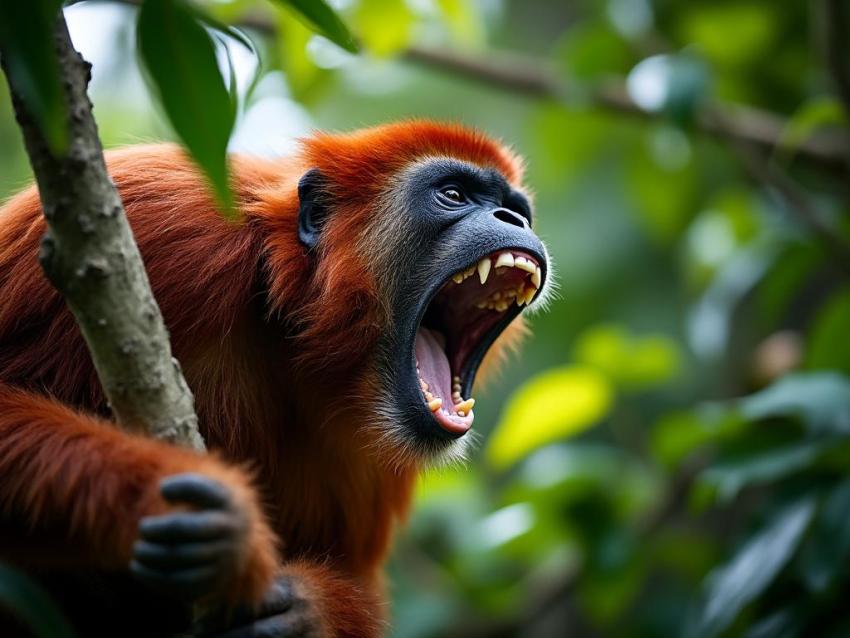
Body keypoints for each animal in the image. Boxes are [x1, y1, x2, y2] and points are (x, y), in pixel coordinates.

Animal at [0, 121, 550, 637]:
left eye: (514, 209)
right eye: (454, 195)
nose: (512, 220)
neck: (289, 321)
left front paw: (308, 610)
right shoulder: (167, 221)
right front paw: (212, 518)